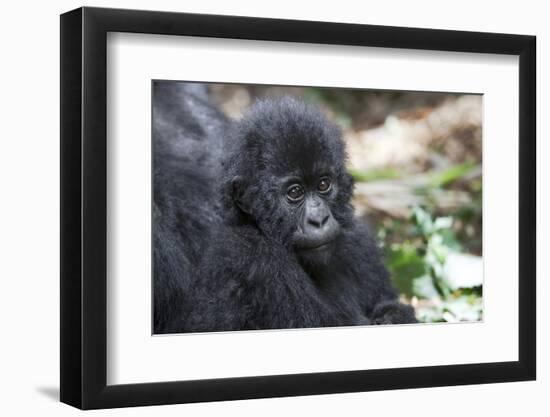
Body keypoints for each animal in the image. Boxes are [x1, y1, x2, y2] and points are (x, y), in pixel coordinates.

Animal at [165, 94, 418, 332]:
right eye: (295, 192)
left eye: (323, 184)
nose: (319, 220)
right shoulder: (252, 257)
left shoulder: (359, 240)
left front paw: (392, 314)